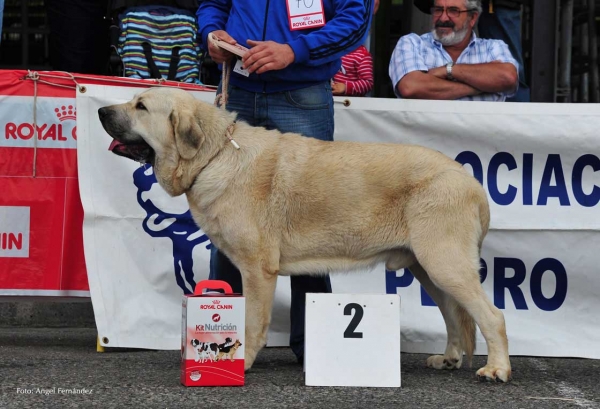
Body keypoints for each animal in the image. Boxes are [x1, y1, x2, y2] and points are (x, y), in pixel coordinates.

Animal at [98, 87, 510, 380]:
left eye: (140, 107)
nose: (102, 112)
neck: (214, 155)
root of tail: (471, 182)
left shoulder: (257, 270)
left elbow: (253, 322)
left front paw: (242, 361)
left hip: (444, 264)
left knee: (492, 316)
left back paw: (497, 369)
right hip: (429, 269)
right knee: (454, 314)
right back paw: (449, 358)